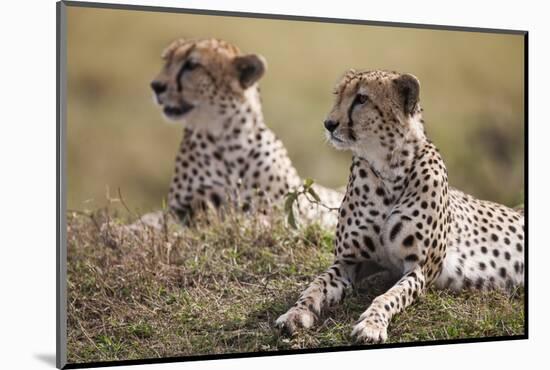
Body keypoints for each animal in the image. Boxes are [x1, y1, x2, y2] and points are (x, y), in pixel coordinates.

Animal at [144, 38, 342, 228]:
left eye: (192, 65)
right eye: (166, 61)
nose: (156, 86)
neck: (225, 136)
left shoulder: (287, 208)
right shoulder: (184, 207)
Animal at [276, 68, 528, 344]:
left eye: (361, 99)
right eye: (338, 94)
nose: (329, 124)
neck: (389, 171)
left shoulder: (420, 268)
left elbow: (388, 297)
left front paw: (372, 325)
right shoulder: (349, 261)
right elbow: (314, 286)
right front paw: (294, 314)